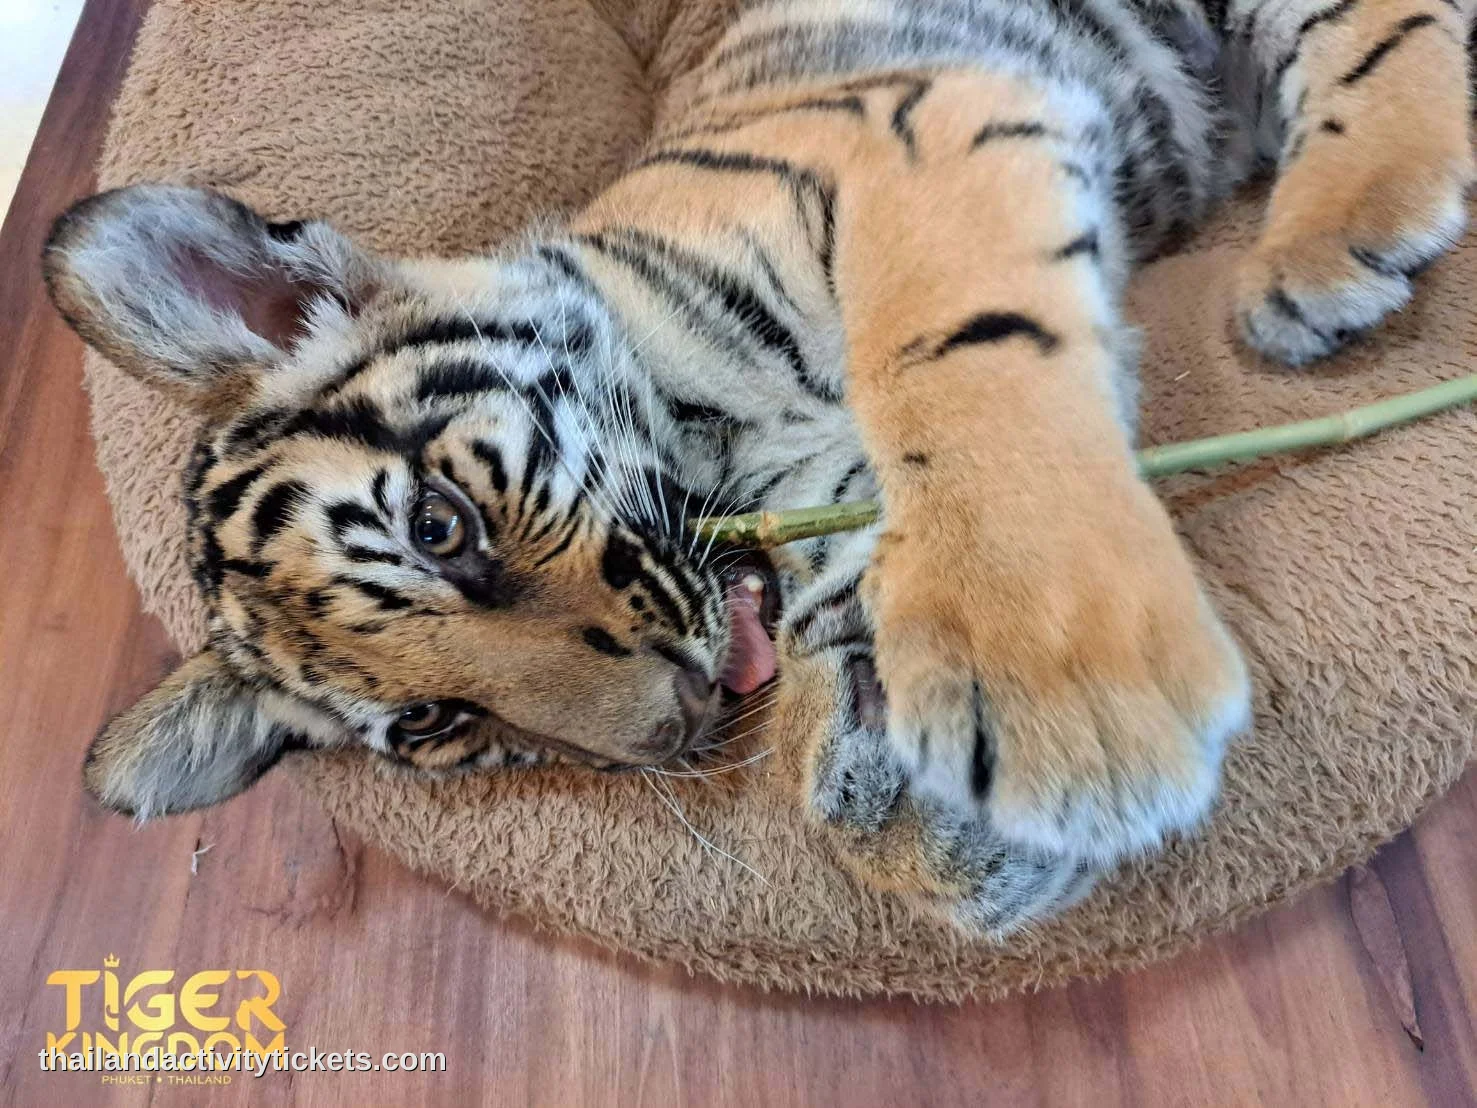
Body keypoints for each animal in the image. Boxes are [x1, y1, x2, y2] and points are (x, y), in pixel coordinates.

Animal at [44, 0, 1475, 935]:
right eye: (439, 726)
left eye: (442, 528)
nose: (675, 724)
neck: (722, 453)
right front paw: (923, 810)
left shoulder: (913, 128)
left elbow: (960, 358)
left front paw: (1064, 687)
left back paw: (1331, 252)